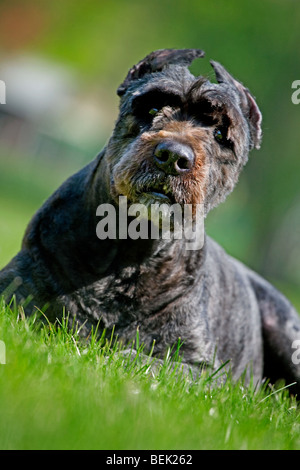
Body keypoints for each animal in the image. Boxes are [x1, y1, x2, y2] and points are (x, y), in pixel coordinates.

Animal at [0, 49, 300, 392]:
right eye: (153, 107)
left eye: (220, 134)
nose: (173, 156)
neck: (130, 247)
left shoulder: (204, 368)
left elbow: (137, 359)